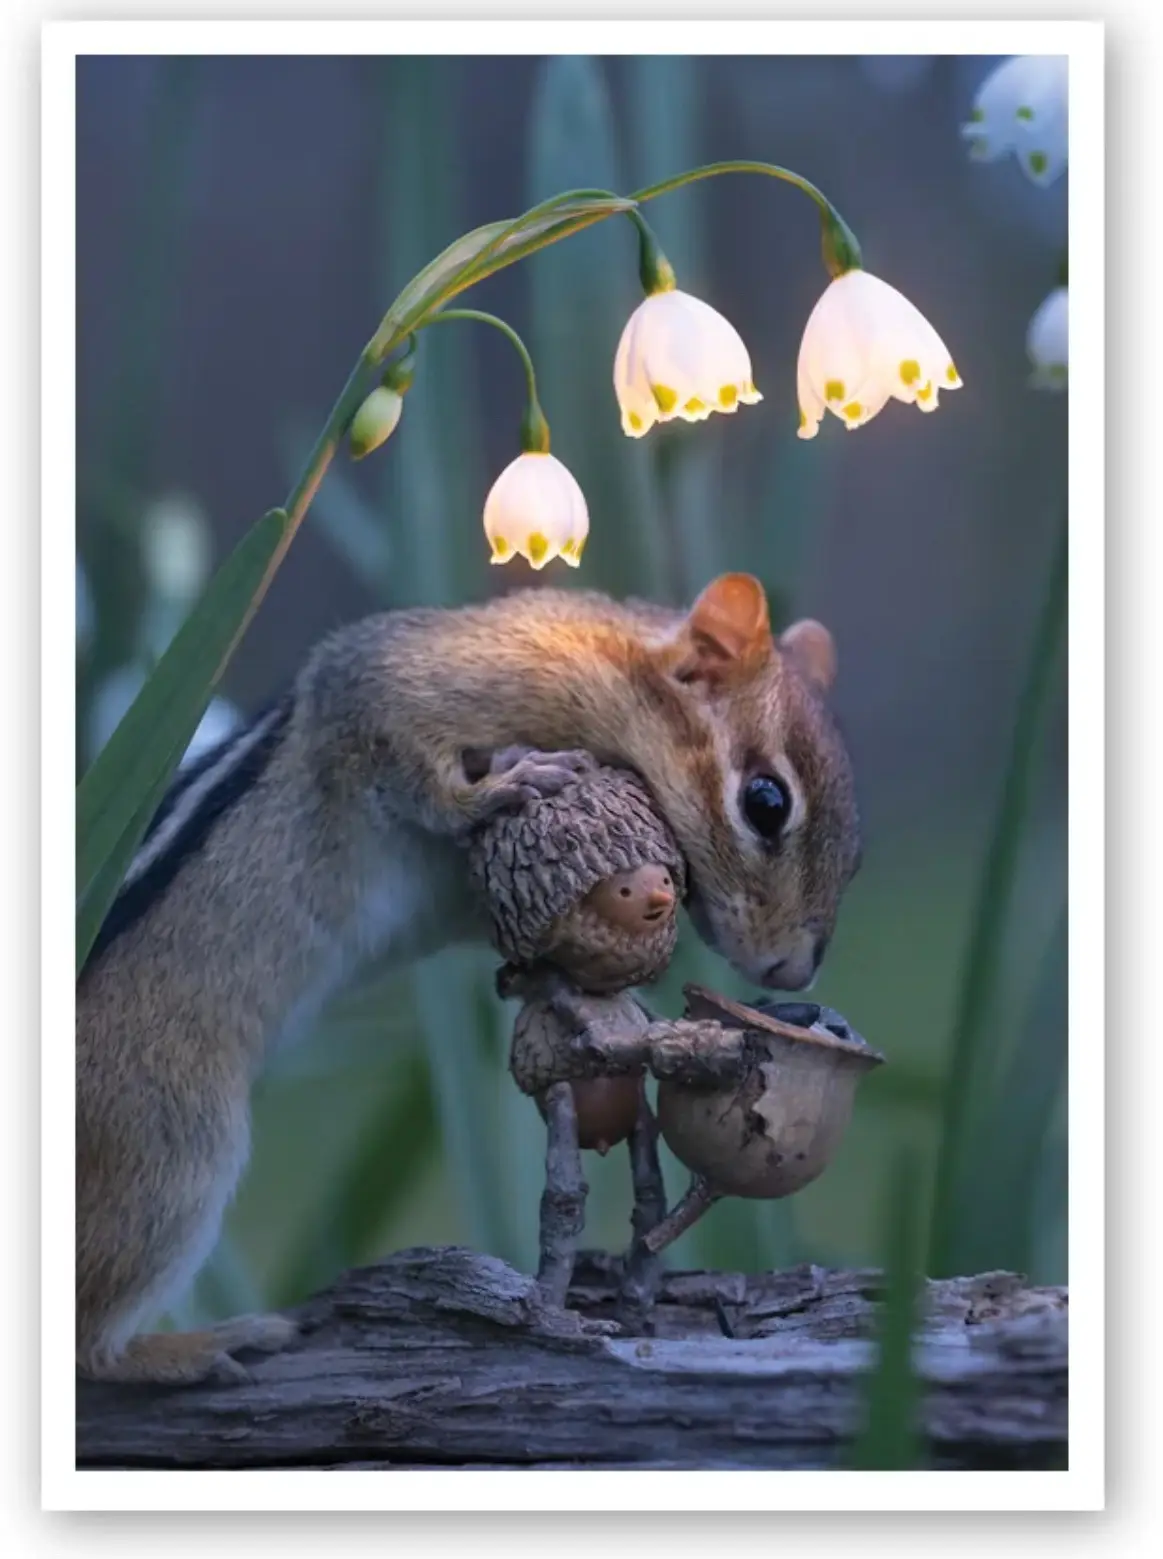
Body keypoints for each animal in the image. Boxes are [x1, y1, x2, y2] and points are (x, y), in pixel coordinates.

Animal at [76, 571, 861, 1385]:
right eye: (765, 802)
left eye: (856, 855)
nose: (794, 968)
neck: (605, 670)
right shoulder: (409, 685)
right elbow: (403, 753)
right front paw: (499, 787)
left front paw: (781, 1017)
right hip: (171, 1150)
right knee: (87, 1343)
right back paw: (190, 1348)